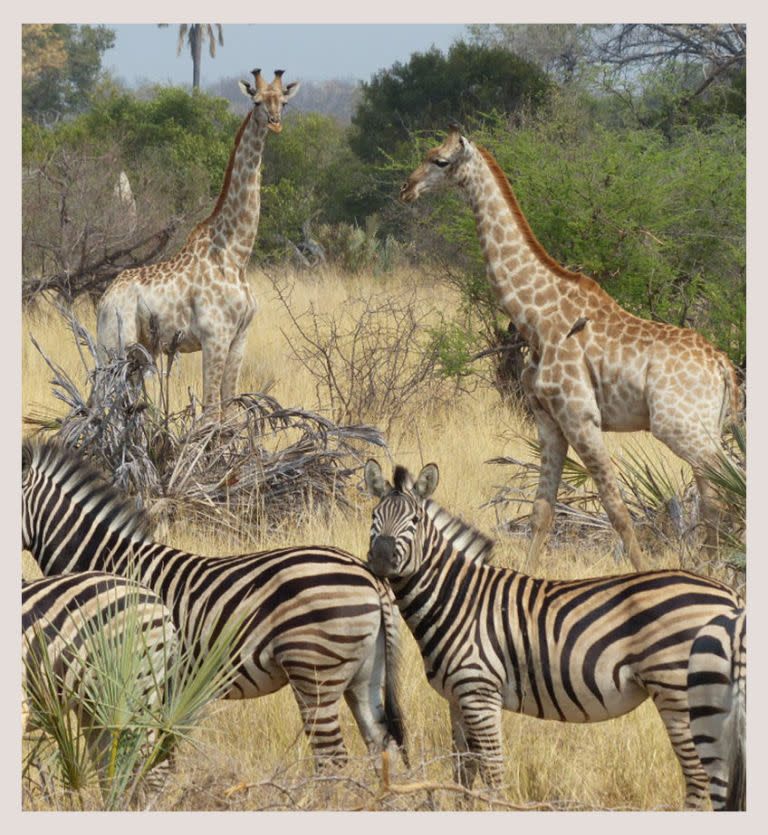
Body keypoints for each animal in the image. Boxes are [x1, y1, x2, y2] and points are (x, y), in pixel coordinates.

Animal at [21, 440, 404, 772]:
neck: (108, 560)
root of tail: (369, 575)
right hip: (364, 674)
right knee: (380, 743)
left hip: (315, 670)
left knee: (332, 757)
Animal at [97, 68, 300, 418]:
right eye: (257, 101)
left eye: (283, 102)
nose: (275, 123)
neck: (236, 254)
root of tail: (104, 300)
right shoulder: (214, 337)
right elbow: (209, 410)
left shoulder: (239, 338)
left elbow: (230, 409)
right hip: (115, 347)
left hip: (138, 355)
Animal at [364, 460, 748, 812]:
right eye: (373, 516)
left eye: (415, 521)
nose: (380, 558)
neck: (458, 599)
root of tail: (731, 595)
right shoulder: (457, 698)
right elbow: (464, 772)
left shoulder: (480, 694)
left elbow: (494, 774)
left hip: (679, 692)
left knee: (700, 779)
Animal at [400, 125, 740, 576]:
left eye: (439, 160)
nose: (406, 188)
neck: (534, 315)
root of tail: (723, 366)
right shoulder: (548, 420)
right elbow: (541, 511)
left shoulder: (581, 416)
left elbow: (617, 509)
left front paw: (645, 578)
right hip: (704, 428)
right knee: (714, 496)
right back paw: (708, 568)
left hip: (679, 426)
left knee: (728, 488)